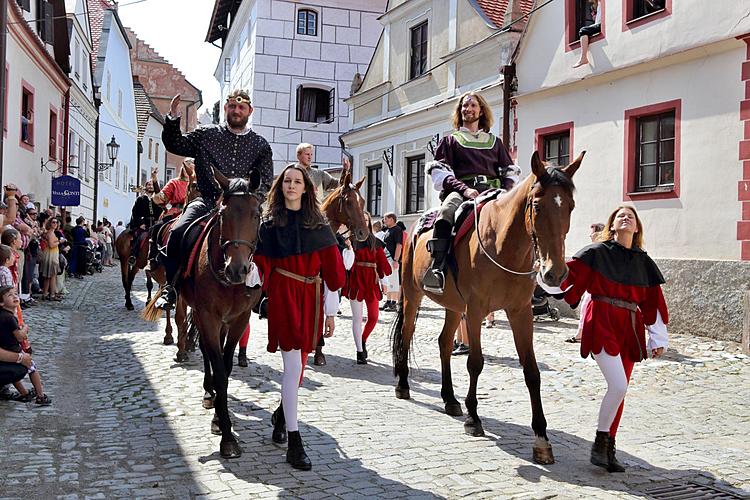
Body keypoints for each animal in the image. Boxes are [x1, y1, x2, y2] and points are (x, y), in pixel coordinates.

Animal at [147, 170, 264, 458]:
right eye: (223, 213)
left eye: (256, 213)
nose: (237, 269)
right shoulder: (208, 315)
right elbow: (219, 368)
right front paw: (226, 435)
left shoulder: (239, 319)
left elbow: (227, 365)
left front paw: (220, 420)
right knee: (205, 350)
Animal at [394, 151, 588, 464]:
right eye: (537, 205)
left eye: (570, 206)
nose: (555, 273)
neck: (503, 245)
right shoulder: (475, 311)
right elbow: (475, 362)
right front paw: (474, 418)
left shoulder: (521, 313)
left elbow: (532, 371)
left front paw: (541, 438)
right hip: (413, 296)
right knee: (407, 334)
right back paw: (403, 385)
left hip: (452, 306)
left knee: (444, 343)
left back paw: (449, 399)